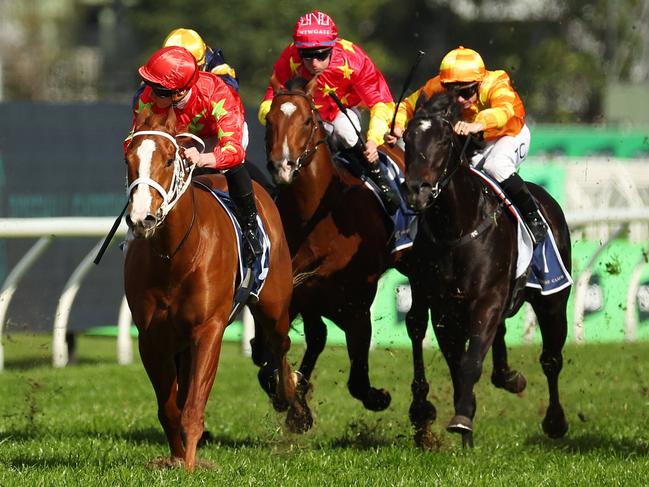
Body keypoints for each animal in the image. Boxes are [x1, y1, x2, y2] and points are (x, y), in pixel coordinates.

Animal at [124, 107, 312, 468]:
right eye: (128, 159)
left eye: (168, 159)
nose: (141, 218)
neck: (176, 256)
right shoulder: (151, 337)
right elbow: (170, 410)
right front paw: (177, 459)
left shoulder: (208, 329)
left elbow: (192, 408)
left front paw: (190, 467)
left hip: (274, 306)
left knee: (280, 346)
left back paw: (291, 400)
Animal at [256, 76, 408, 416]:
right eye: (269, 120)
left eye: (307, 121)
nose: (282, 166)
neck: (315, 219)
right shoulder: (300, 296)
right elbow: (271, 363)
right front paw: (295, 397)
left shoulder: (357, 306)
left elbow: (358, 380)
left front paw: (379, 397)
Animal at [402, 93, 568, 448]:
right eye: (407, 138)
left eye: (445, 139)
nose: (416, 191)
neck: (456, 229)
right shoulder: (444, 309)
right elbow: (458, 364)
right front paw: (465, 421)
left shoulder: (487, 300)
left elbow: (471, 362)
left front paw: (463, 418)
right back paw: (509, 377)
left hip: (553, 301)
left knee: (551, 360)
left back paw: (555, 421)